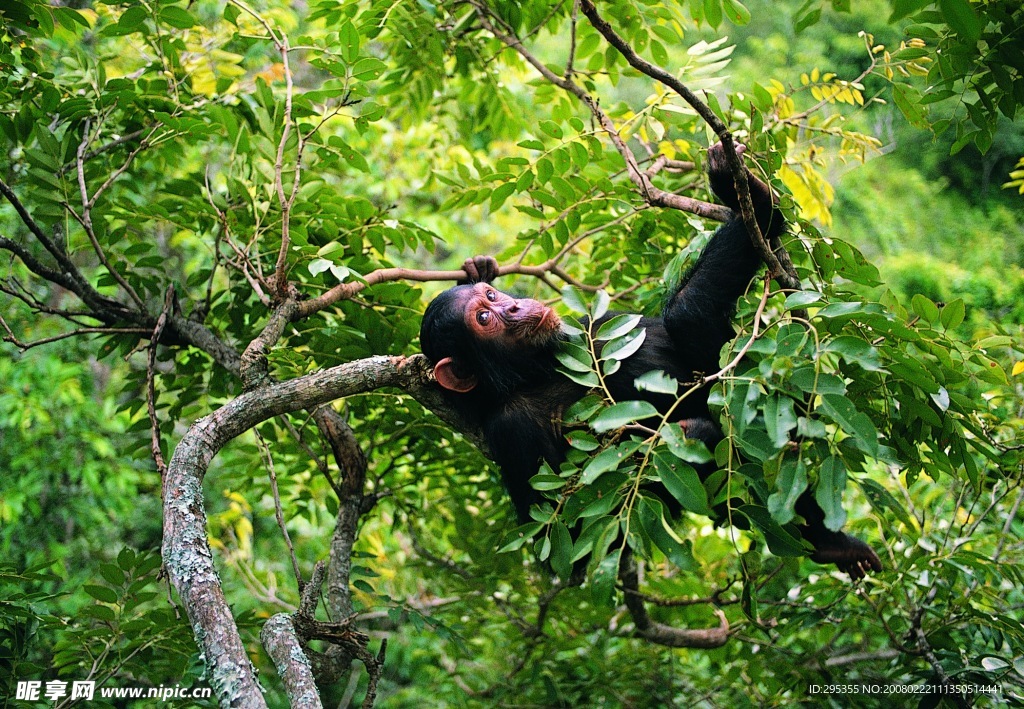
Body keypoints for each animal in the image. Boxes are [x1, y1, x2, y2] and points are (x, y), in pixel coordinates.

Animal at [419, 141, 884, 577]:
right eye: (484, 317)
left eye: (493, 297)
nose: (514, 307)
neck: (536, 370)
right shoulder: (510, 435)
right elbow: (566, 542)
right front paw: (690, 434)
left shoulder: (586, 326)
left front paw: (478, 268)